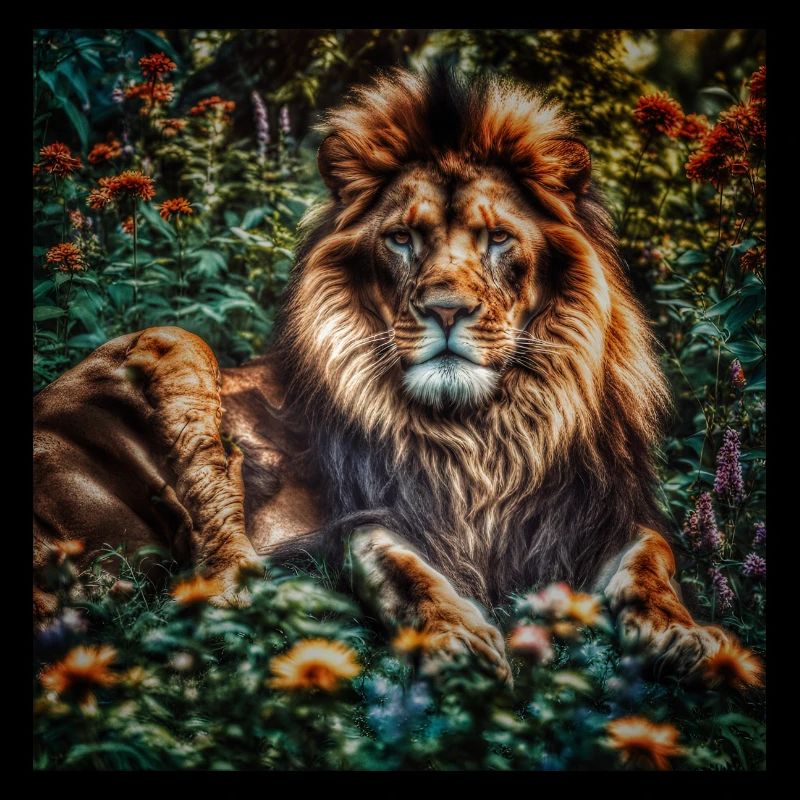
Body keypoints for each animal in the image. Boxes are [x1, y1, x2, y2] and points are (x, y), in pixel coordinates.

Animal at [33, 68, 760, 688]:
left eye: (498, 239)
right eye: (402, 239)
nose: (446, 308)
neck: (484, 433)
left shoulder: (601, 513)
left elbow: (652, 562)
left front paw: (690, 639)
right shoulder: (371, 513)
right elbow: (391, 558)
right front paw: (454, 637)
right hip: (176, 342)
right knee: (217, 583)